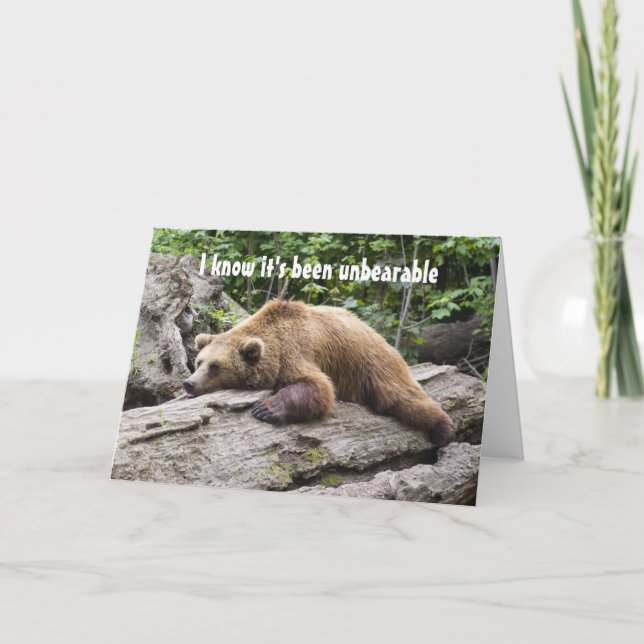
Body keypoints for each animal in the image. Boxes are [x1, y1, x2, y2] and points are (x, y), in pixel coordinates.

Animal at [184, 299, 455, 447]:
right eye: (198, 362)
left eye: (215, 366)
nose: (189, 384)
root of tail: (376, 333)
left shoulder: (296, 351)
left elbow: (318, 387)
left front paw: (265, 409)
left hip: (372, 364)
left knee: (401, 397)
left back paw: (444, 429)